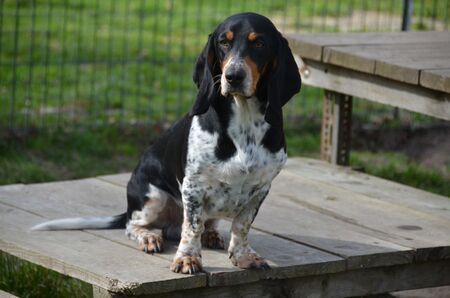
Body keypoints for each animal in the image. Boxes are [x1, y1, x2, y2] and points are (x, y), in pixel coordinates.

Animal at [31, 13, 298, 274]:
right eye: (224, 42)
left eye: (259, 43)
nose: (233, 76)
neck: (244, 122)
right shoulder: (193, 186)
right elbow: (192, 227)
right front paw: (187, 259)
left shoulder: (260, 189)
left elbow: (241, 226)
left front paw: (243, 257)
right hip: (152, 197)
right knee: (134, 225)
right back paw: (149, 237)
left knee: (199, 225)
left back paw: (211, 235)